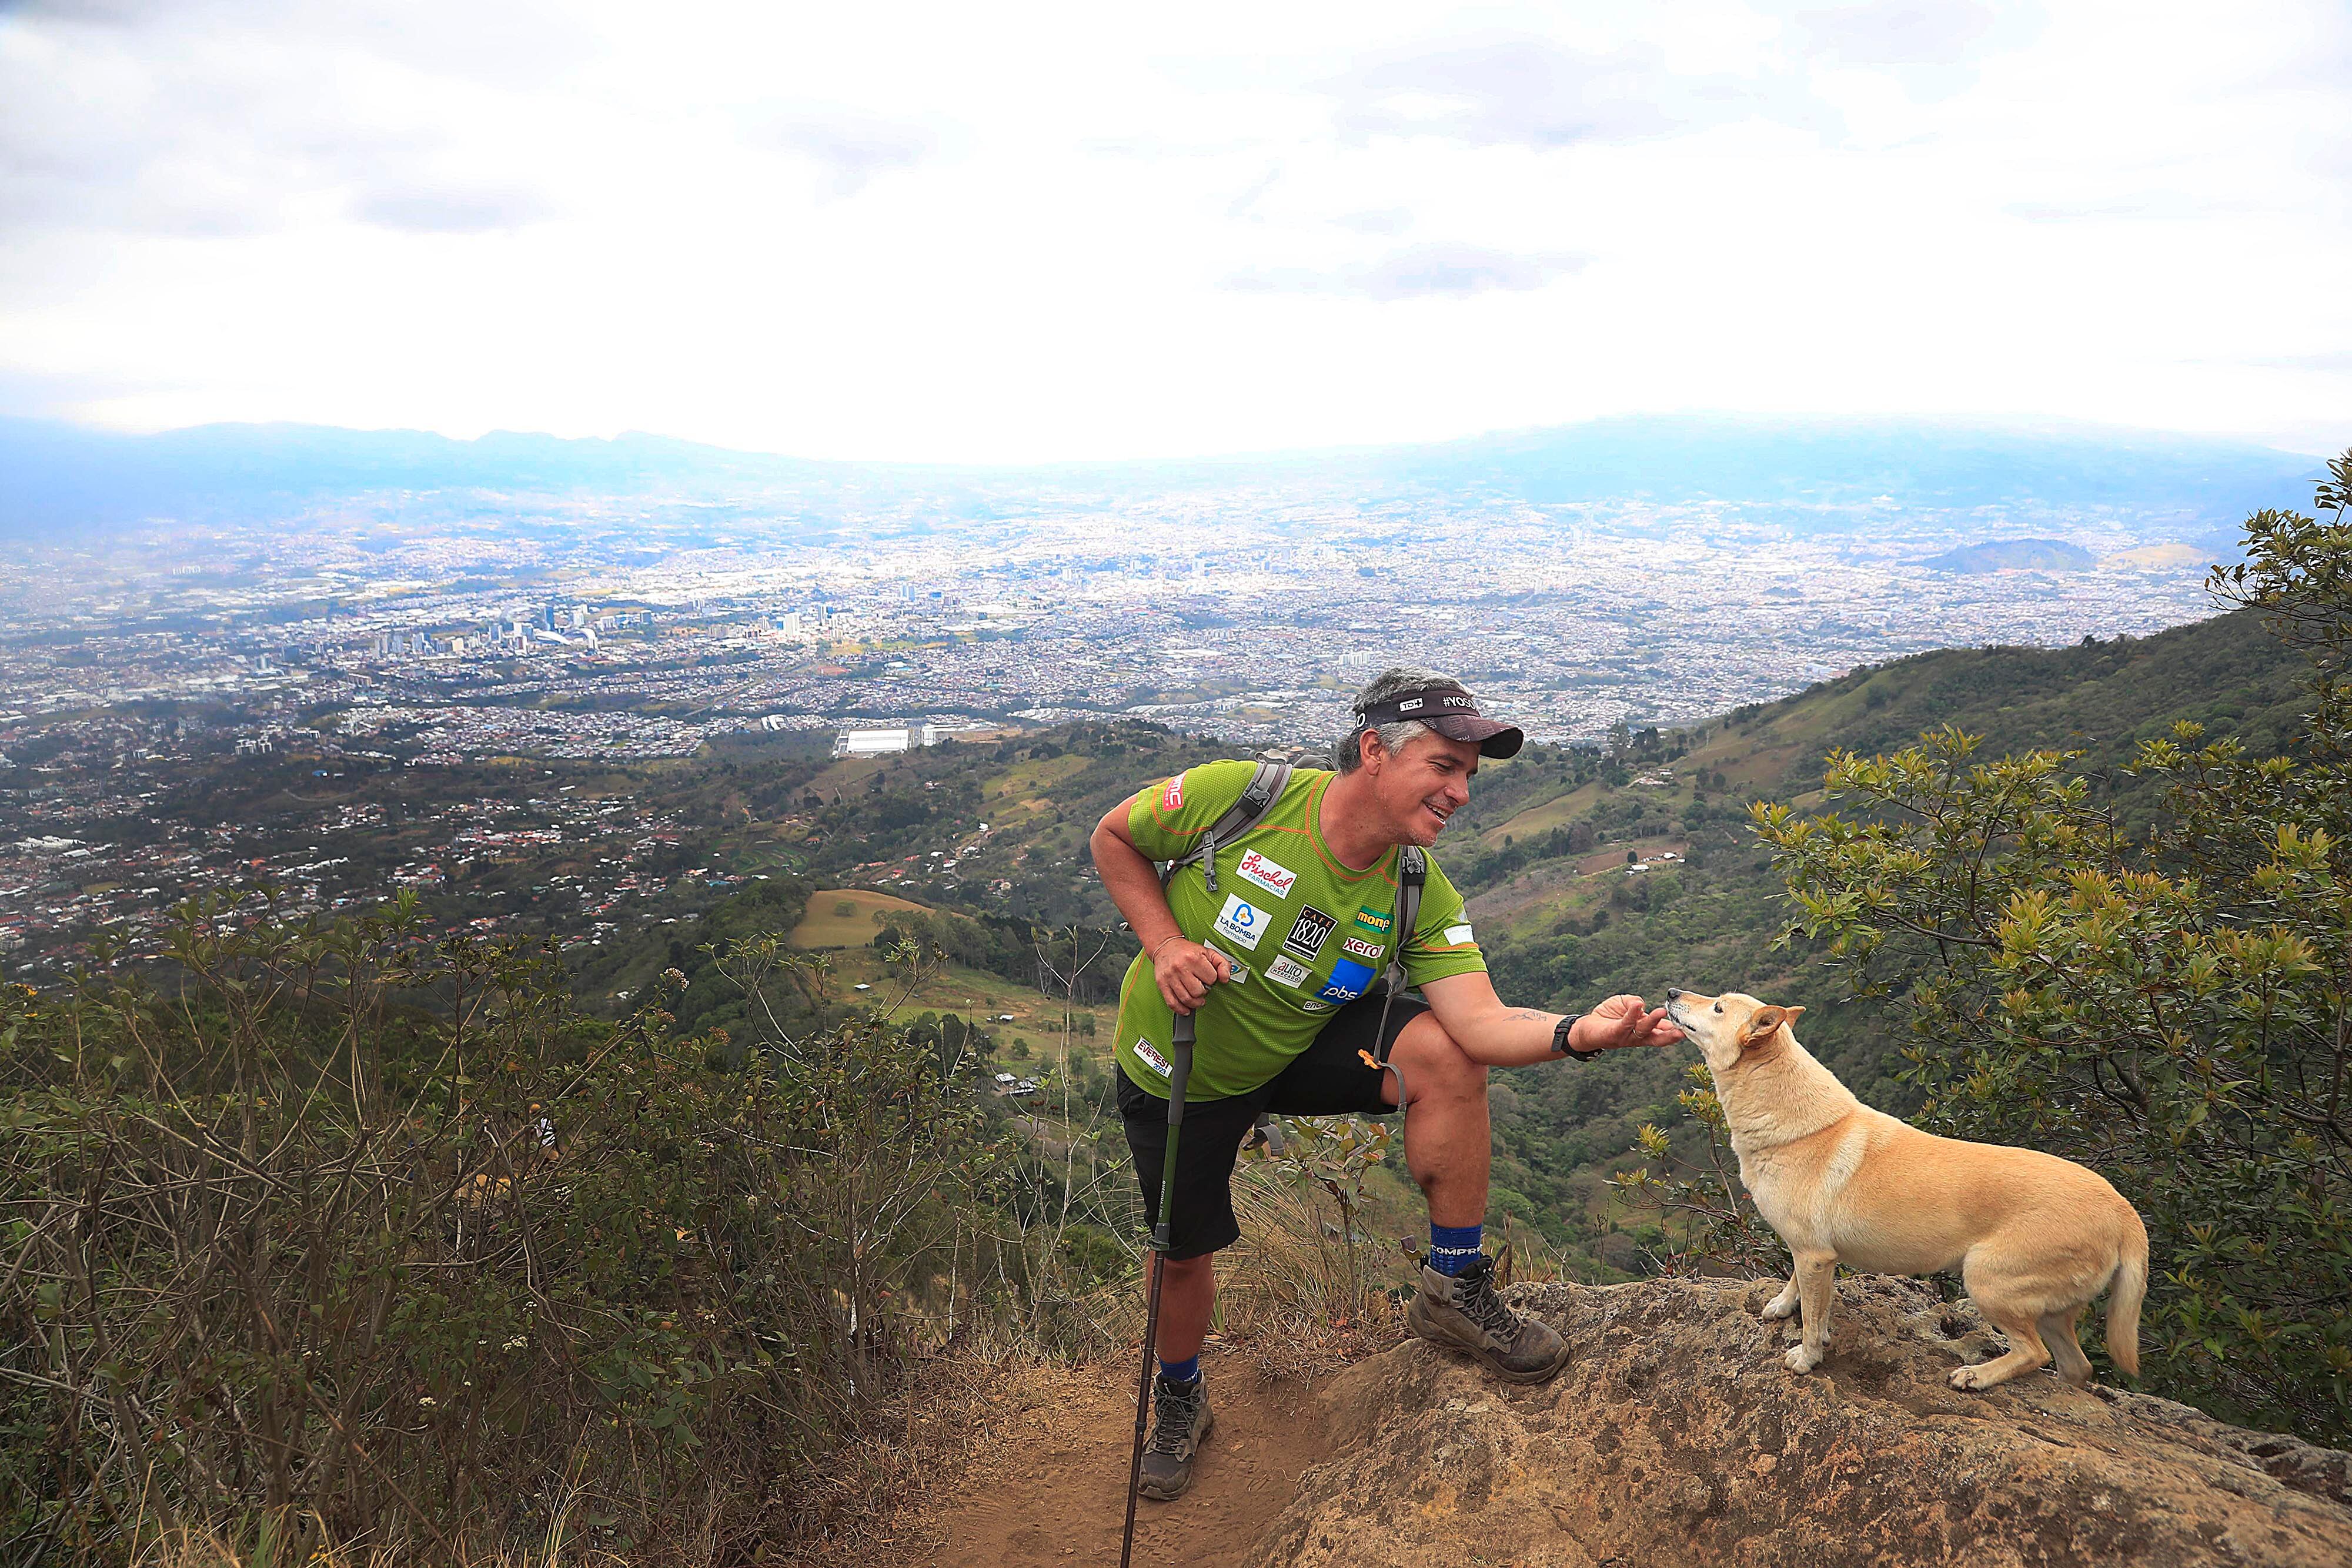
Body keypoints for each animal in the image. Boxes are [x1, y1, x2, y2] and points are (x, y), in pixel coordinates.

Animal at [1663, 989, 2148, 1390]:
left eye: (1718, 1007)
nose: (1669, 991)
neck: (1793, 1122)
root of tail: (2124, 1210)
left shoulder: (1814, 1254)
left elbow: (1814, 1316)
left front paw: (1807, 1357)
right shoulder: (1810, 1252)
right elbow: (1798, 1287)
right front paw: (1783, 1306)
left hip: (1986, 1279)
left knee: (2034, 1352)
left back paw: (1977, 1374)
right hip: (2047, 1308)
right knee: (2076, 1366)